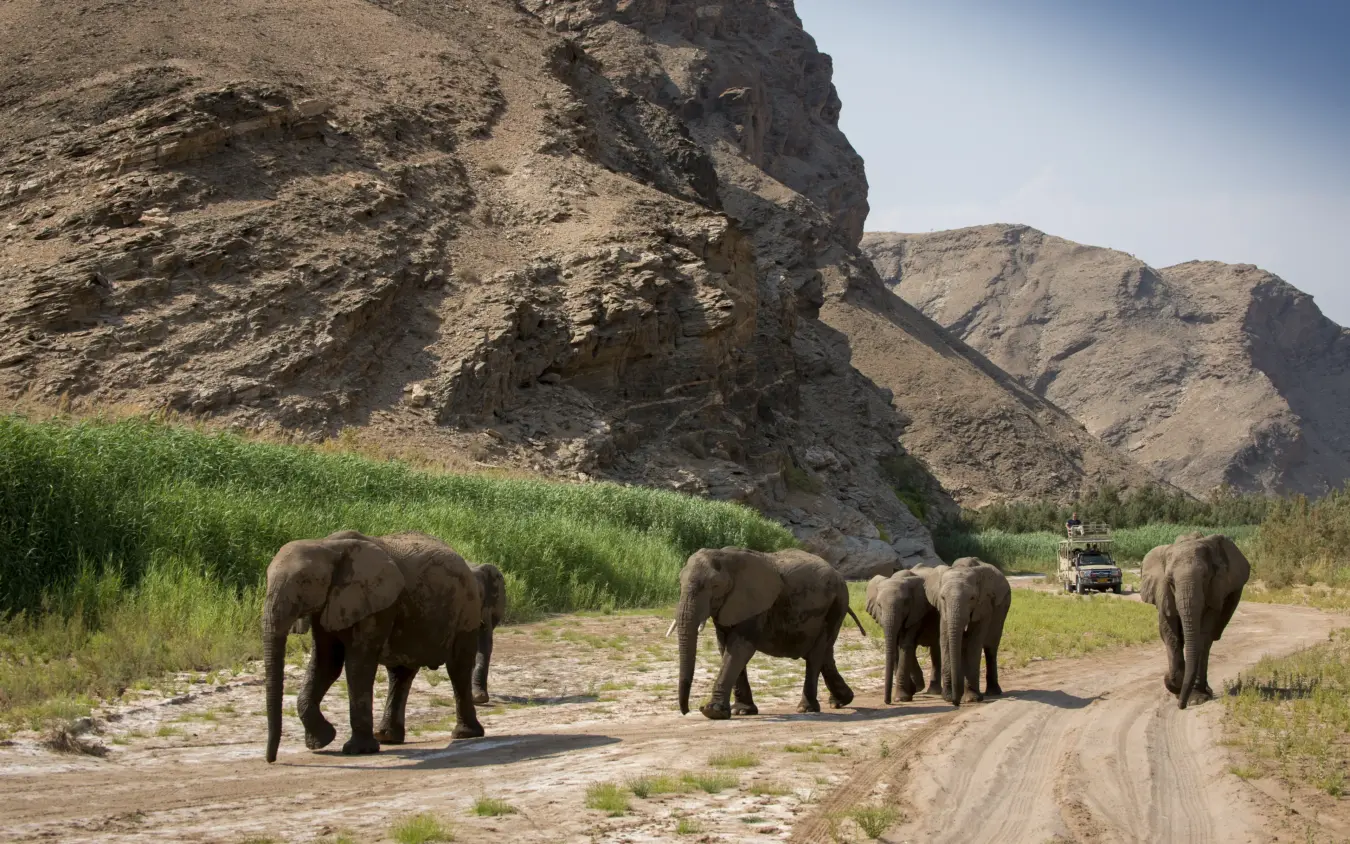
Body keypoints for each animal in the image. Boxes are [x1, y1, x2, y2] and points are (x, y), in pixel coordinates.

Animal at [262, 530, 484, 763]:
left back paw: (465, 734)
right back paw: (387, 737)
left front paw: (357, 750)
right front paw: (322, 741)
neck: (326, 546)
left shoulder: (376, 603)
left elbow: (357, 665)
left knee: (458, 667)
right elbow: (326, 663)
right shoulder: (329, 605)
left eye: (305, 582)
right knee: (400, 673)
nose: (271, 760)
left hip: (466, 607)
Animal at [673, 546, 867, 720]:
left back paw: (807, 708)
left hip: (837, 605)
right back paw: (840, 701)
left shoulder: (755, 604)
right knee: (825, 653)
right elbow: (724, 647)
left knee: (816, 655)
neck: (724, 556)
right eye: (680, 583)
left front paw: (713, 712)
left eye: (715, 585)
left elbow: (739, 648)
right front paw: (741, 711)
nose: (687, 711)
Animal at [866, 566, 946, 703]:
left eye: (905, 603)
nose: (887, 701)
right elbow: (897, 645)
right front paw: (911, 691)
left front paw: (901, 698)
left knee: (935, 649)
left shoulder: (915, 611)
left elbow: (905, 644)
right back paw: (919, 688)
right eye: (879, 605)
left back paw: (933, 691)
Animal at [929, 558, 1010, 706]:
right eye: (942, 597)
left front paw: (972, 699)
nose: (956, 703)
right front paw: (948, 697)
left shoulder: (984, 606)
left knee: (991, 647)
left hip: (1002, 608)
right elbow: (945, 641)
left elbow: (974, 643)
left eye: (972, 598)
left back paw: (993, 692)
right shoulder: (943, 611)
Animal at [1140, 532, 1250, 709]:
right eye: (1170, 581)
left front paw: (1193, 698)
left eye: (1205, 577)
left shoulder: (1215, 590)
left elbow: (1202, 635)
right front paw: (1176, 684)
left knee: (1208, 641)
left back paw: (1203, 692)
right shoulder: (1163, 593)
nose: (1181, 706)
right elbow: (1170, 634)